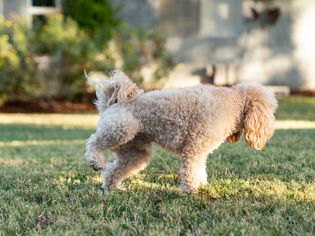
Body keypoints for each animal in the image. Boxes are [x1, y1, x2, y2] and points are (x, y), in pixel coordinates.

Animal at [85, 71, 278, 194]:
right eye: (271, 109)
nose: (270, 130)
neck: (235, 103)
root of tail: (112, 104)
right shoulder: (194, 148)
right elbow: (191, 171)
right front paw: (191, 192)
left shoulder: (200, 151)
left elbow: (200, 170)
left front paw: (202, 186)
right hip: (120, 130)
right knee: (93, 142)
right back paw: (96, 161)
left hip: (135, 151)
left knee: (113, 170)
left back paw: (112, 187)